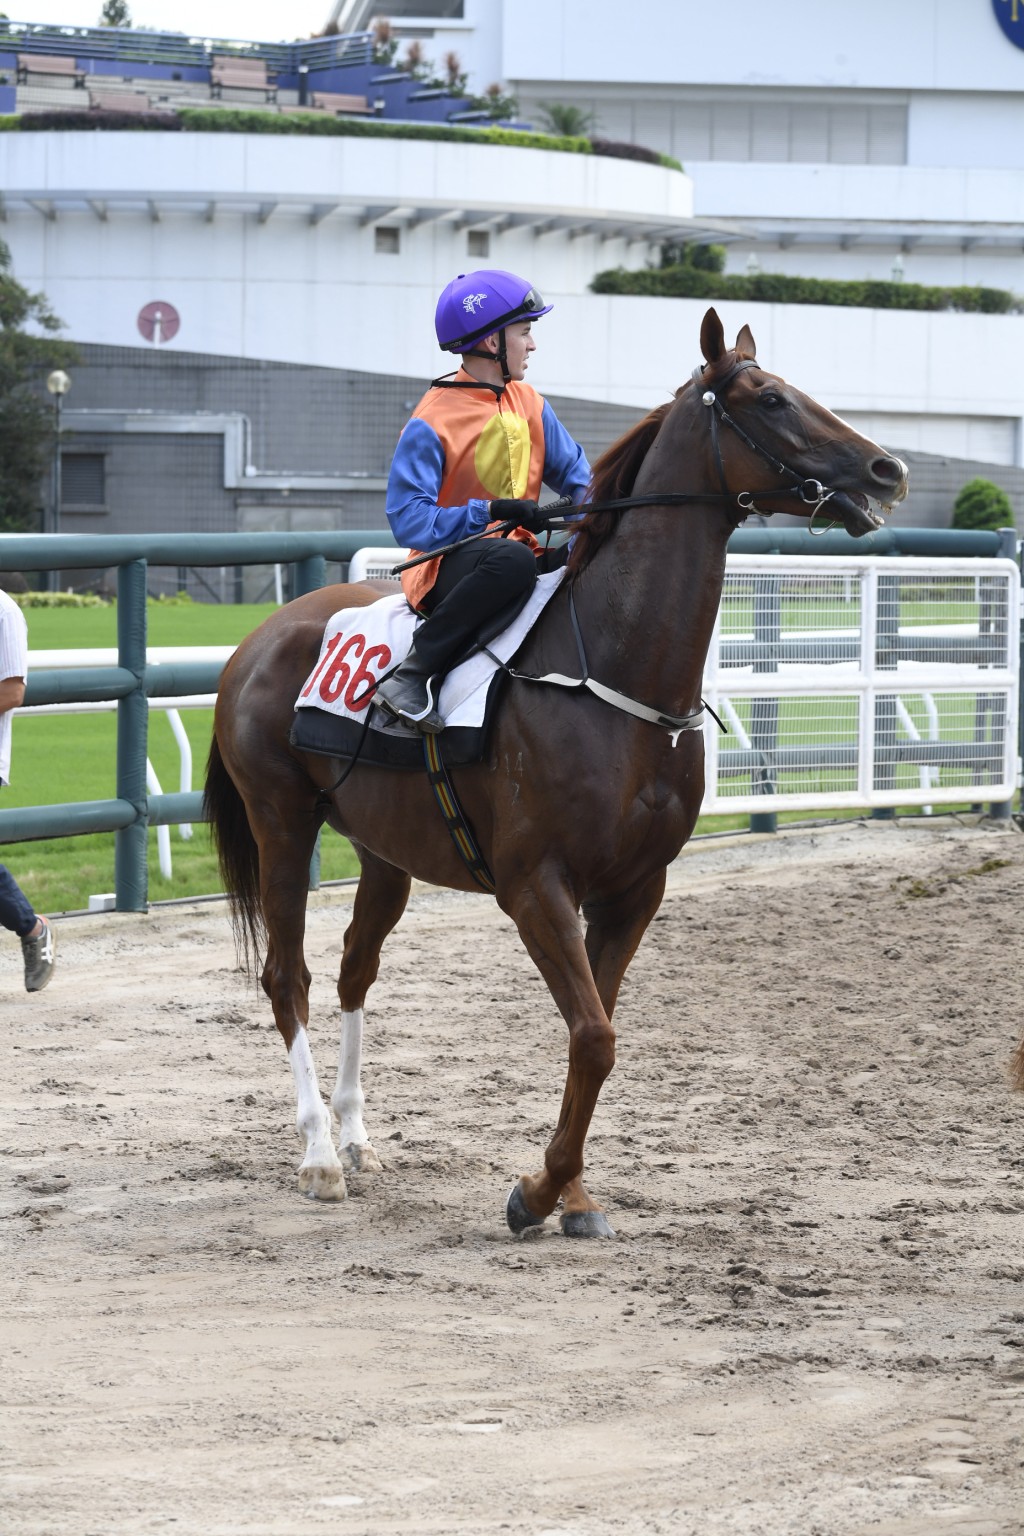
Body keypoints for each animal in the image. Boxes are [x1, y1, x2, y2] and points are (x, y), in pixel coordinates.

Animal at [204, 308, 908, 1234]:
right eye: (769, 399)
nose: (887, 469)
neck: (612, 667)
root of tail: (257, 640)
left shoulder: (634, 888)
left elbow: (594, 1033)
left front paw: (570, 1194)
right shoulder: (535, 884)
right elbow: (595, 1036)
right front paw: (536, 1192)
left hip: (384, 850)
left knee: (357, 966)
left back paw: (357, 1138)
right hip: (282, 825)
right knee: (290, 976)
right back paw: (320, 1155)